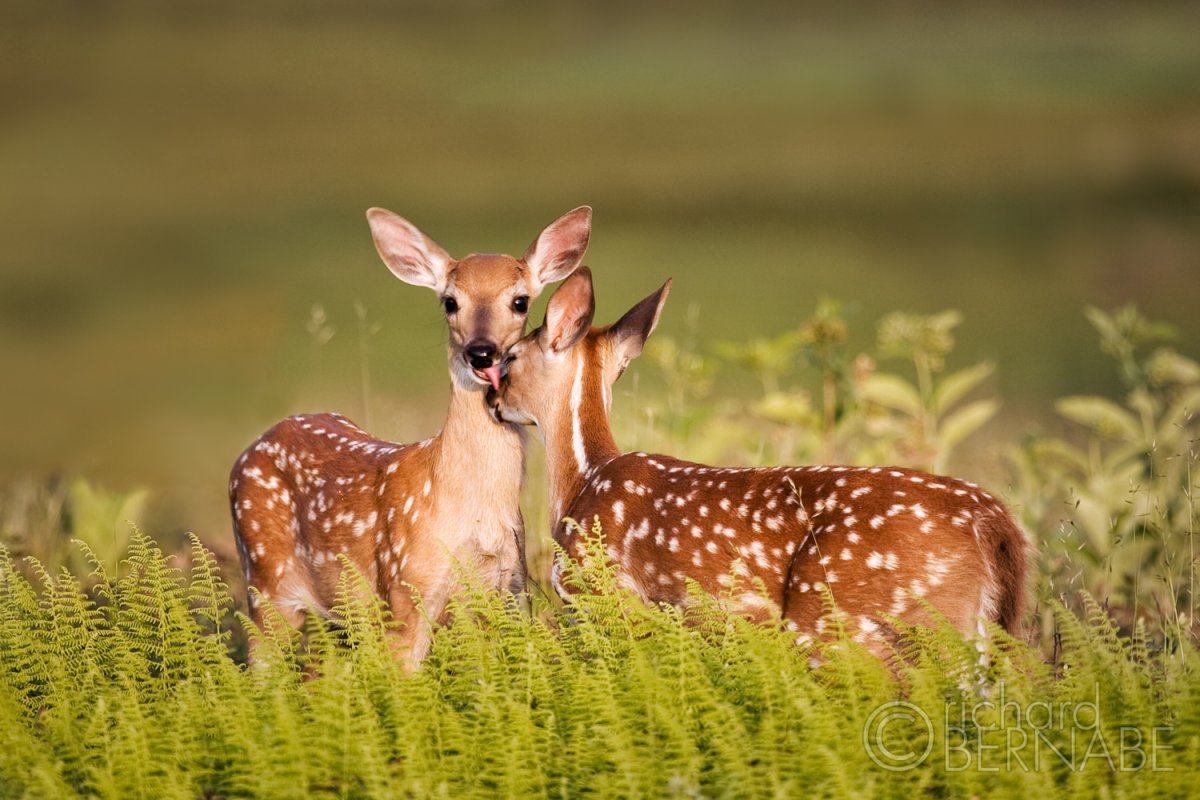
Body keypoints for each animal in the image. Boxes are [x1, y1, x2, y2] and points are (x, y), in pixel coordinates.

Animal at [229, 206, 592, 666]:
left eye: (520, 300)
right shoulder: (405, 588)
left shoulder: (507, 589)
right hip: (265, 580)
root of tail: (254, 445)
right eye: (450, 301)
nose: (481, 352)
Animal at [487, 268, 1027, 651]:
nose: (492, 399)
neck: (585, 476)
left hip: (849, 620)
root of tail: (997, 524)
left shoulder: (608, 596)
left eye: (510, 358)